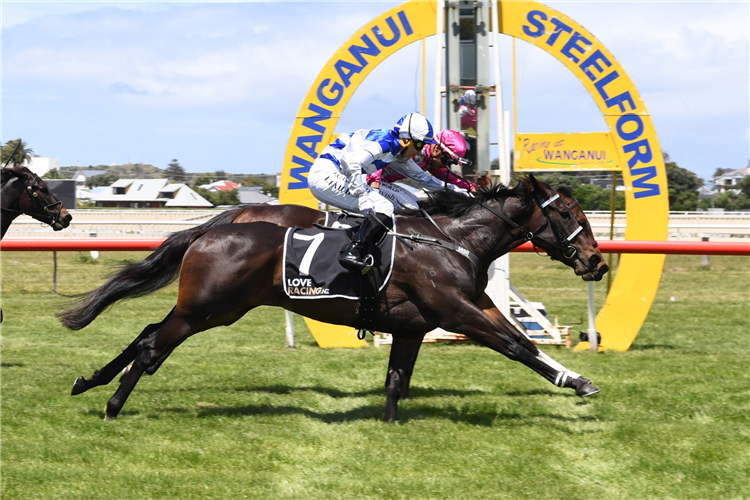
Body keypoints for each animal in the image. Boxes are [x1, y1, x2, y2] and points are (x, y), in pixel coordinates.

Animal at [60, 176, 612, 422]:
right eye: (568, 214)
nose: (597, 262)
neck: (452, 239)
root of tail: (210, 231)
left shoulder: (423, 323)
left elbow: (398, 380)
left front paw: (389, 426)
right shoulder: (458, 311)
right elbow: (518, 346)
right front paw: (578, 382)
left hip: (217, 309)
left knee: (146, 335)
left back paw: (89, 382)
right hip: (205, 309)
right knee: (153, 347)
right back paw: (111, 405)